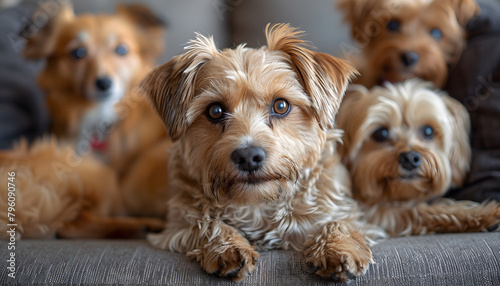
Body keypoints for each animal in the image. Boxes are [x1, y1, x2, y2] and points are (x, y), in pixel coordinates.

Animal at [137, 24, 382, 282]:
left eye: (281, 106)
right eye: (215, 111)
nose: (248, 157)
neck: (258, 205)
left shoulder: (349, 212)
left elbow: (339, 222)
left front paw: (339, 248)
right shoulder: (178, 224)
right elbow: (205, 223)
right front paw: (228, 247)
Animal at [336, 79, 500, 237]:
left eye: (428, 131)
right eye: (381, 133)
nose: (410, 158)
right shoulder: (374, 214)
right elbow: (418, 211)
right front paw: (481, 214)